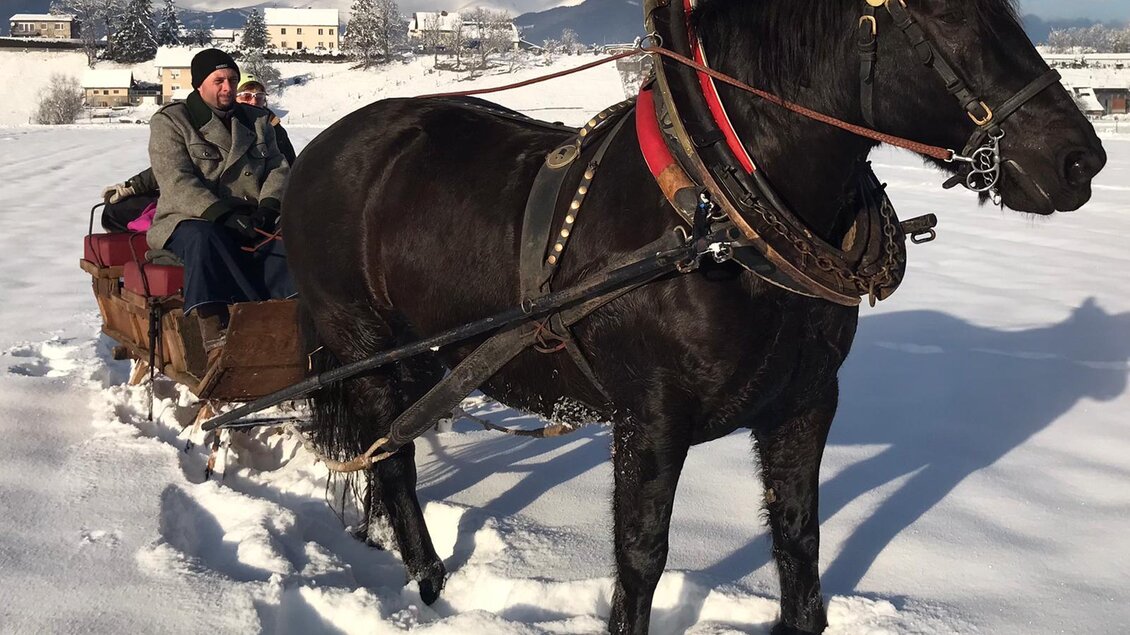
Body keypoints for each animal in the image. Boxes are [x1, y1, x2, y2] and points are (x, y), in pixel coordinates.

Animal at [281, 0, 1105, 632]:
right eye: (947, 13)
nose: (1081, 161)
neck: (719, 216)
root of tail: (328, 146)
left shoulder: (806, 401)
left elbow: (799, 537)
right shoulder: (651, 416)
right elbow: (641, 553)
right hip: (364, 344)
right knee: (393, 458)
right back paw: (428, 582)